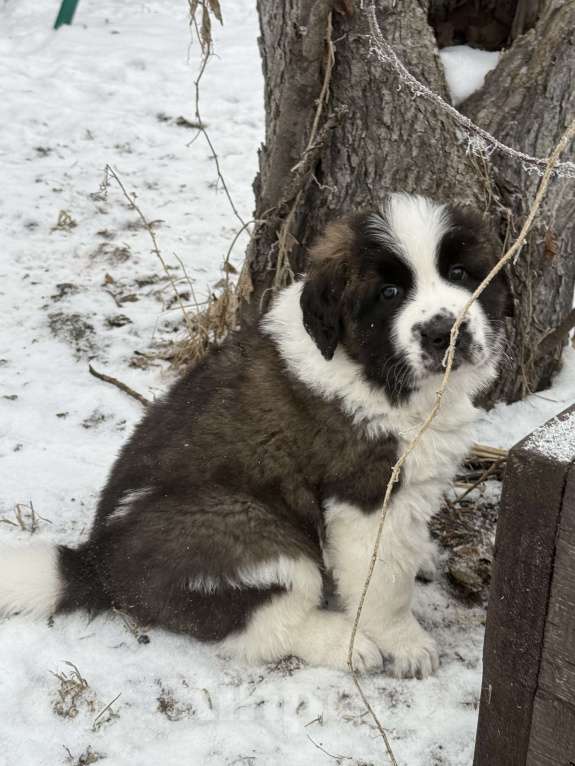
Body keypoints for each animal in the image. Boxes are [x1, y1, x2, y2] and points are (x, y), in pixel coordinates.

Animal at [0, 195, 508, 680]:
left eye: (459, 273)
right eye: (389, 293)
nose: (446, 331)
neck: (371, 369)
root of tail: (100, 561)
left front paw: (420, 553)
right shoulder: (365, 494)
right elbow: (383, 581)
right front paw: (405, 643)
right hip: (247, 527)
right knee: (266, 622)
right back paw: (345, 644)